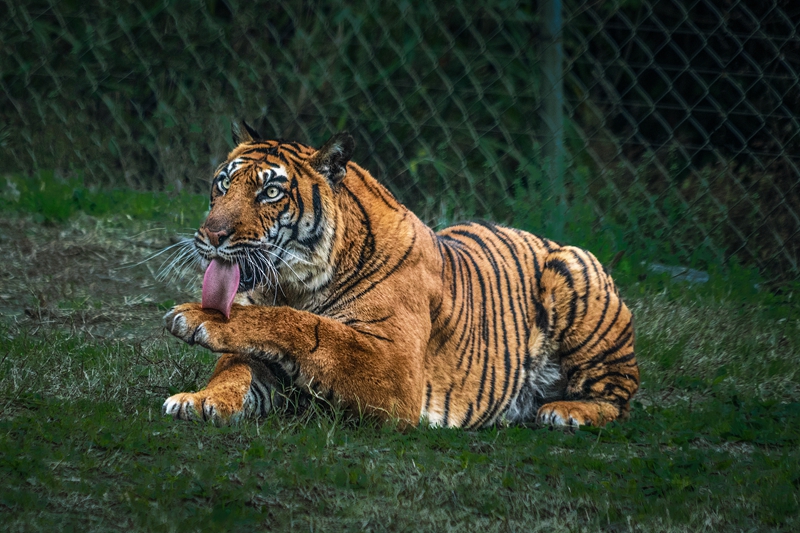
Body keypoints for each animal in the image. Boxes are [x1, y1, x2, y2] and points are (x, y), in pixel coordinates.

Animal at [161, 123, 636, 428]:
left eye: (271, 192)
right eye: (223, 184)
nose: (212, 235)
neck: (295, 285)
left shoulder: (393, 364)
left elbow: (308, 328)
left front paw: (195, 316)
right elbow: (235, 370)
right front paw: (198, 401)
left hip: (572, 273)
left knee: (621, 397)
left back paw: (567, 412)